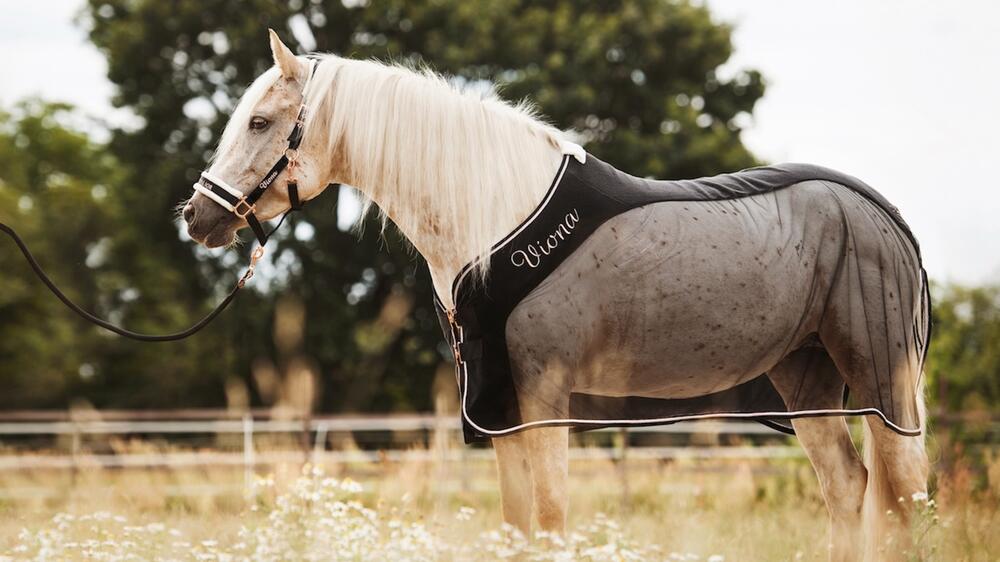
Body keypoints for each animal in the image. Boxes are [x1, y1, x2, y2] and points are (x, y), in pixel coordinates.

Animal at [182, 32, 928, 556]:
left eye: (259, 122)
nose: (196, 216)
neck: (495, 219)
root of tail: (884, 217)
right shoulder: (503, 409)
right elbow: (517, 527)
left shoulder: (544, 398)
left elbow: (549, 519)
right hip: (806, 382)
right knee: (848, 490)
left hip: (882, 382)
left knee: (905, 499)